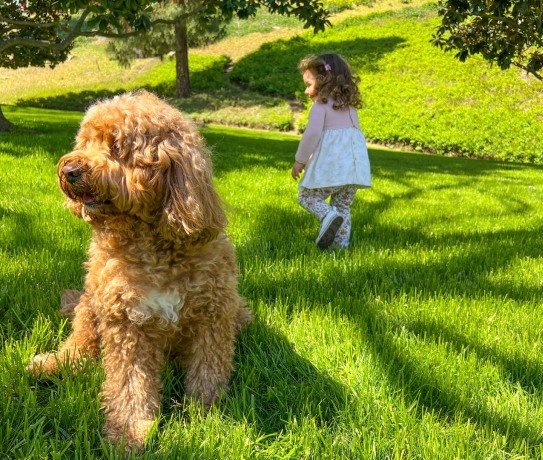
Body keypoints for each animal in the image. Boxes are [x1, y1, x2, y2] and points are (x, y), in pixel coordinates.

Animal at [28, 90, 253, 450]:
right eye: (85, 141)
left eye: (116, 146)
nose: (71, 169)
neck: (152, 248)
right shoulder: (128, 325)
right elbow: (130, 385)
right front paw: (129, 433)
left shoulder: (213, 317)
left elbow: (208, 373)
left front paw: (205, 417)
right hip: (91, 304)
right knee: (80, 345)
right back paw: (52, 364)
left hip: (239, 313)